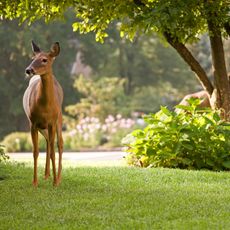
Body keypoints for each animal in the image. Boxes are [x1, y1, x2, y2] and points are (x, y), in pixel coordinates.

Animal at [23, 40, 63, 186]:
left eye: (44, 60)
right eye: (33, 58)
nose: (29, 70)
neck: (45, 106)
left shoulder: (52, 122)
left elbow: (53, 152)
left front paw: (55, 183)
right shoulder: (33, 123)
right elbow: (35, 152)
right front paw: (35, 182)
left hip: (59, 119)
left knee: (59, 144)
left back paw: (58, 177)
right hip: (41, 126)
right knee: (47, 142)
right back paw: (46, 175)